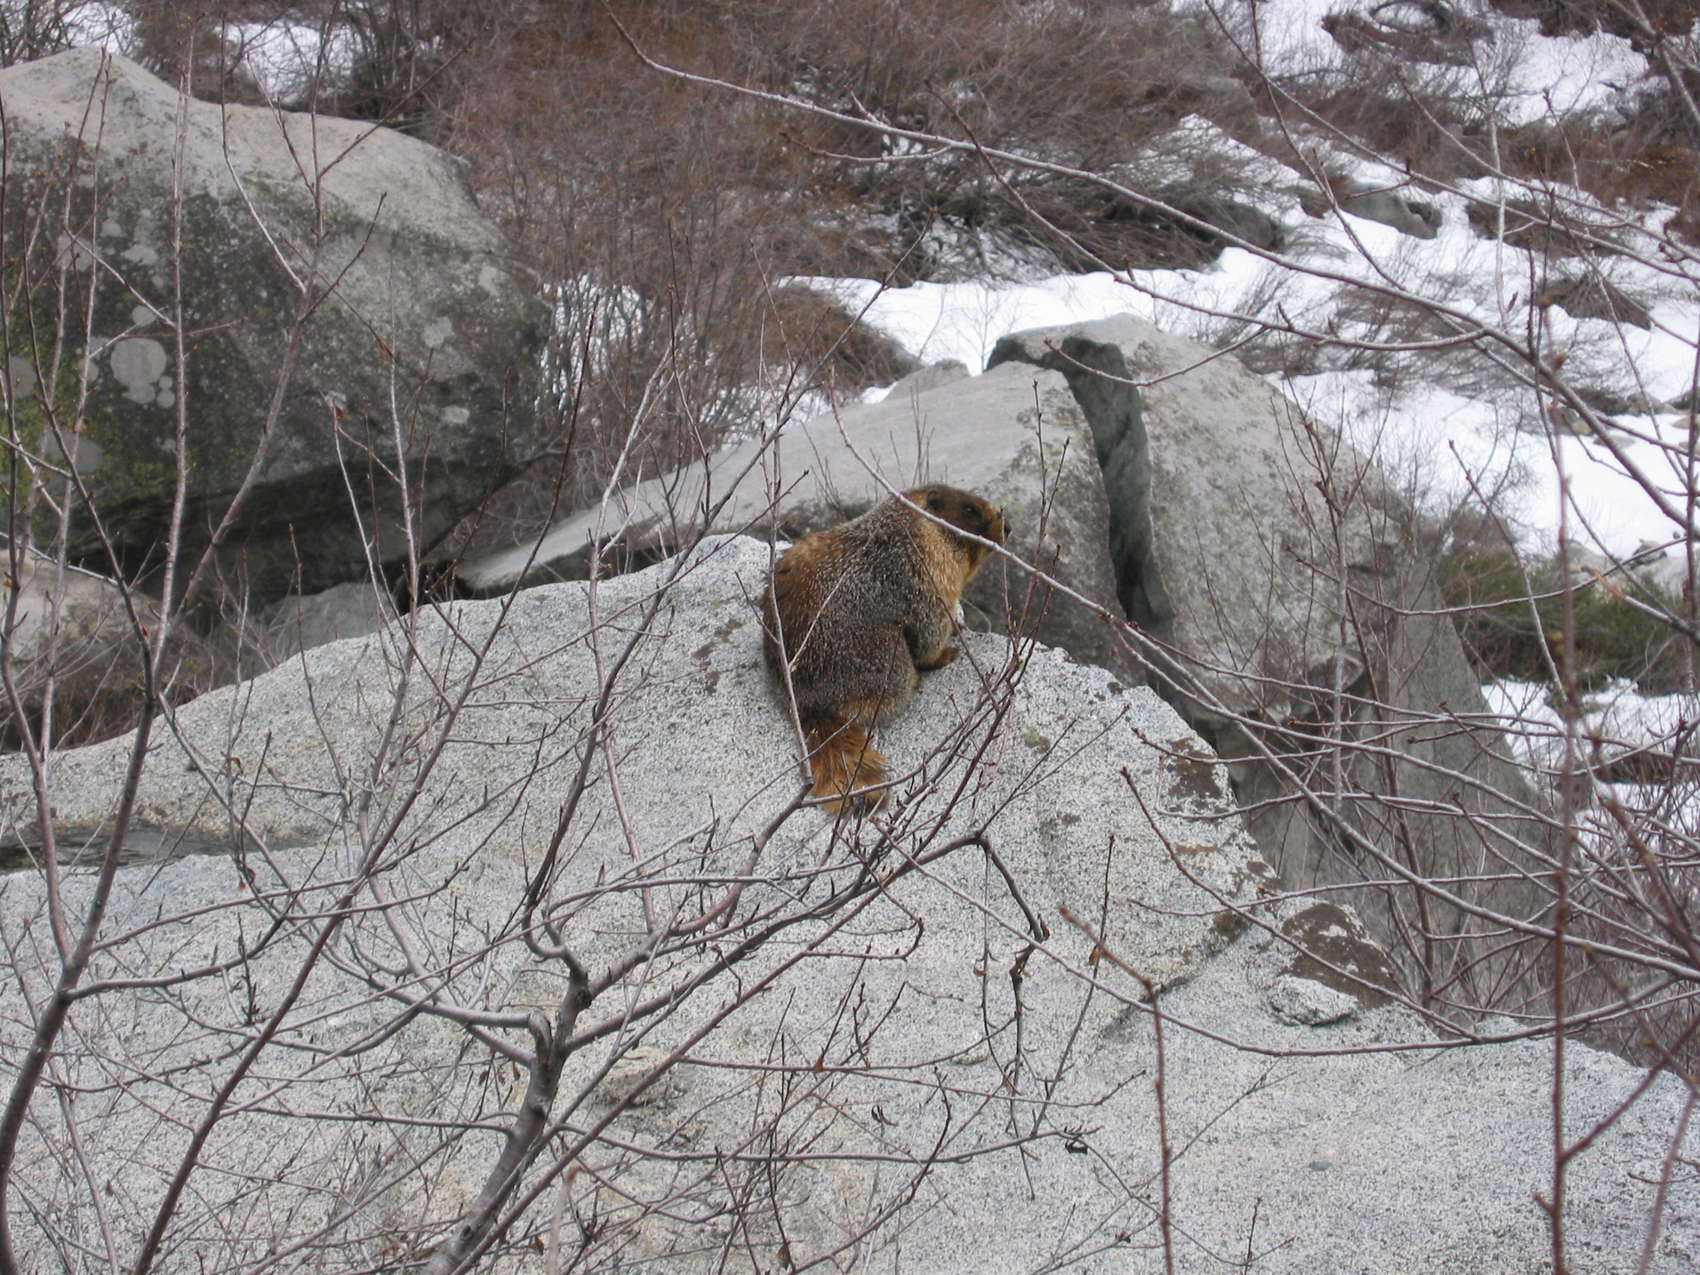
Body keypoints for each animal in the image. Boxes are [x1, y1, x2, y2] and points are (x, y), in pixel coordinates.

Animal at [763, 484, 1007, 814]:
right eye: (970, 509)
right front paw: (946, 651)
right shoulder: (928, 573)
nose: (1008, 526)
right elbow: (930, 627)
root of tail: (805, 702)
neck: (920, 526)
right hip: (886, 658)